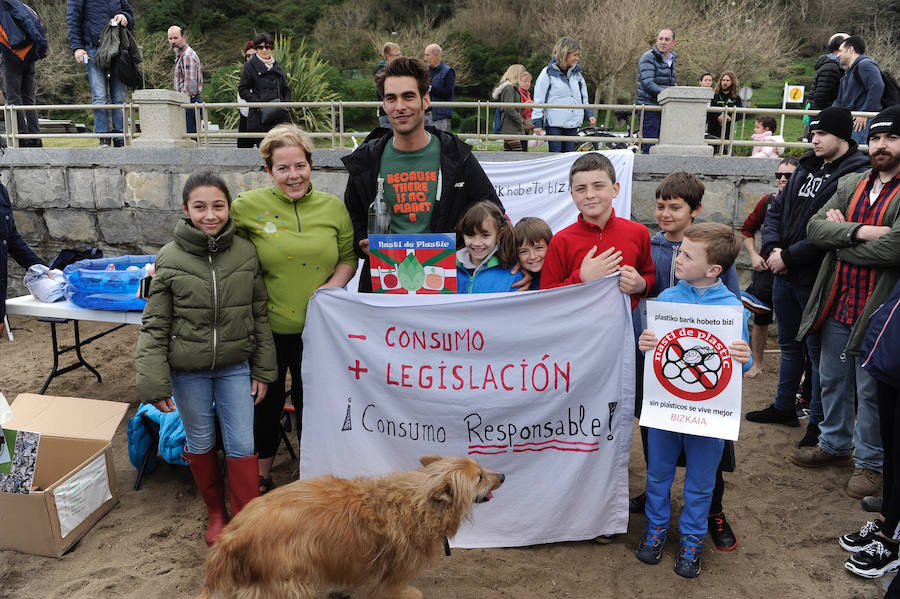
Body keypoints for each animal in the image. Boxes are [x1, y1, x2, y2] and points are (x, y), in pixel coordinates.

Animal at [200, 454, 502, 599]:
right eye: (479, 478)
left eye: (481, 470)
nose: (502, 475)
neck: (417, 502)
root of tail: (230, 537)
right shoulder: (392, 576)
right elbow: (398, 591)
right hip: (289, 584)